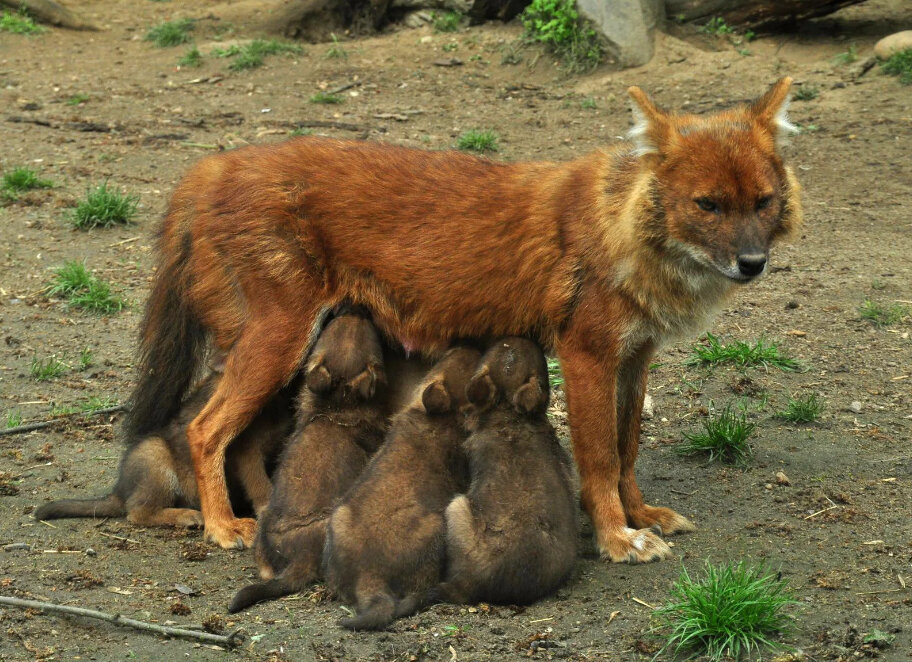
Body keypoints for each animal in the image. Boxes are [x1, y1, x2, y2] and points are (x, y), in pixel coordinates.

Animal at [34, 364, 292, 528]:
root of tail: (118, 492)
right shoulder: (246, 447)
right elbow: (260, 484)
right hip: (155, 458)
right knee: (138, 512)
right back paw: (187, 516)